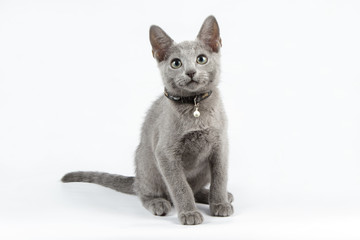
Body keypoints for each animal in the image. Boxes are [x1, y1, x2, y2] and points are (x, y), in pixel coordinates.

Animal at [62, 15, 233, 225]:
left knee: (194, 188)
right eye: (176, 63)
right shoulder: (166, 153)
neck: (195, 106)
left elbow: (220, 178)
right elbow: (180, 186)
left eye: (201, 59)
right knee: (145, 193)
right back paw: (158, 203)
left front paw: (219, 203)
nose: (191, 72)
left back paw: (215, 196)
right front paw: (189, 213)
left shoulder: (220, 146)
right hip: (146, 161)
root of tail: (136, 179)